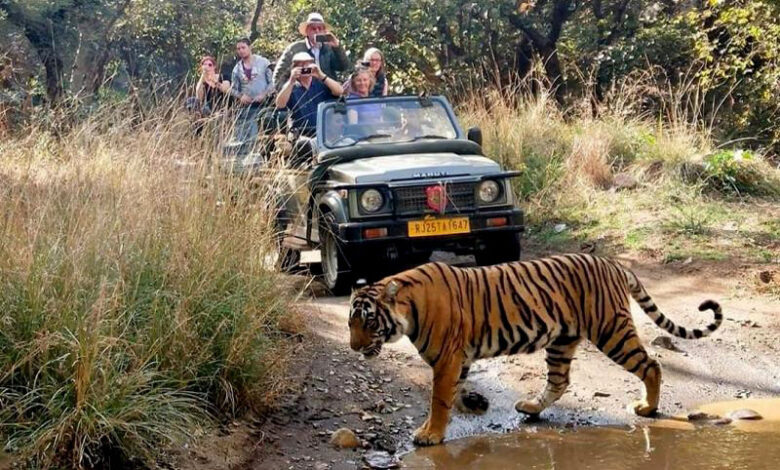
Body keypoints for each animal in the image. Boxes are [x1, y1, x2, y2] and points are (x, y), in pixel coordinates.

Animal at [348, 253, 722, 446]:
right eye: (350, 324)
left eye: (368, 321)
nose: (354, 347)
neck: (408, 310)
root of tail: (613, 263)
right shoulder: (458, 359)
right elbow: (452, 392)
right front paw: (468, 406)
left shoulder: (448, 358)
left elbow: (439, 399)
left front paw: (430, 434)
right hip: (562, 340)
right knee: (559, 381)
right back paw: (530, 407)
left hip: (611, 331)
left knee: (651, 365)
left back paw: (648, 407)